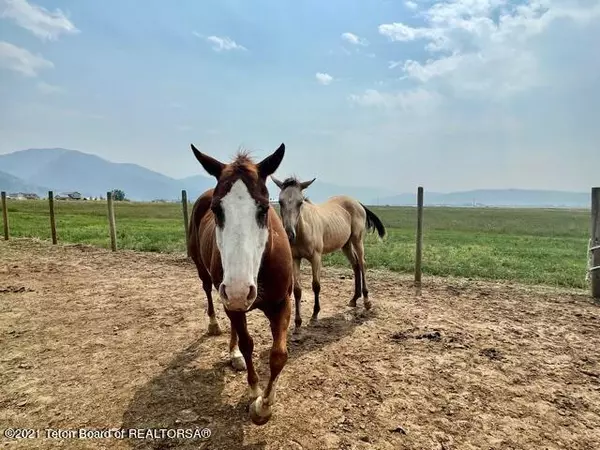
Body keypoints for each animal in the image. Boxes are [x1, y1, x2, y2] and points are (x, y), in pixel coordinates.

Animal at [186, 144, 292, 426]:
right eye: (216, 209)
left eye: (264, 209)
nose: (238, 290)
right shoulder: (231, 300)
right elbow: (248, 344)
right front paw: (254, 394)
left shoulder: (282, 303)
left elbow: (278, 355)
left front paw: (265, 405)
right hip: (208, 276)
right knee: (209, 294)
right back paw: (214, 326)